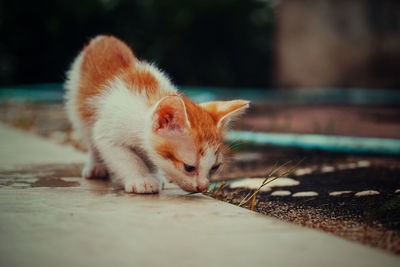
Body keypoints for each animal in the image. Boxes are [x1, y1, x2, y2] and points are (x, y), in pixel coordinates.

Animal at [64, 36, 248, 195]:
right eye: (188, 167)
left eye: (214, 167)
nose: (202, 187)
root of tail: (104, 38)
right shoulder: (108, 132)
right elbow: (126, 158)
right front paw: (142, 179)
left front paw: (155, 175)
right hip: (77, 105)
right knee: (90, 138)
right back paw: (95, 166)